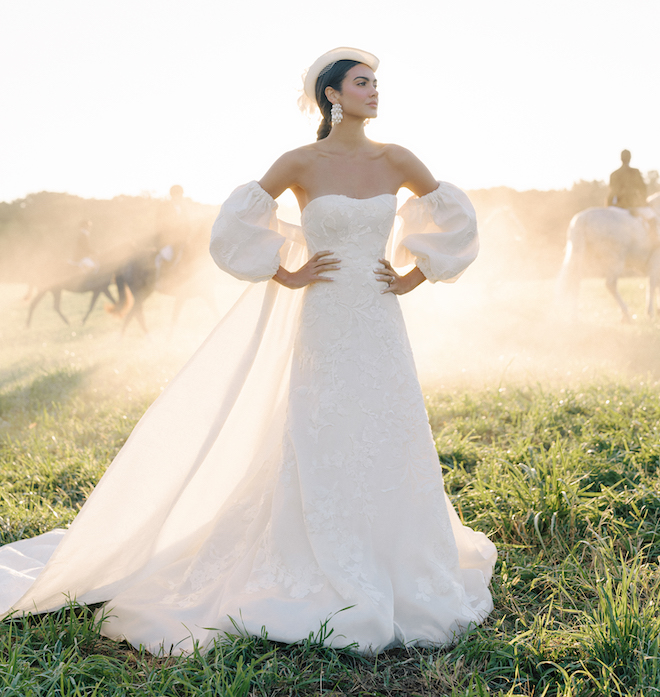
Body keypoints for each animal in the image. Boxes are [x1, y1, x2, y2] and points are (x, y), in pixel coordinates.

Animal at [556, 194, 660, 322]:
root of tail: (584, 217)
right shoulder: (655, 261)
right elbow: (652, 284)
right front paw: (650, 313)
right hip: (615, 261)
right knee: (610, 284)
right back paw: (626, 314)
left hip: (581, 258)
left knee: (575, 281)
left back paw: (574, 317)